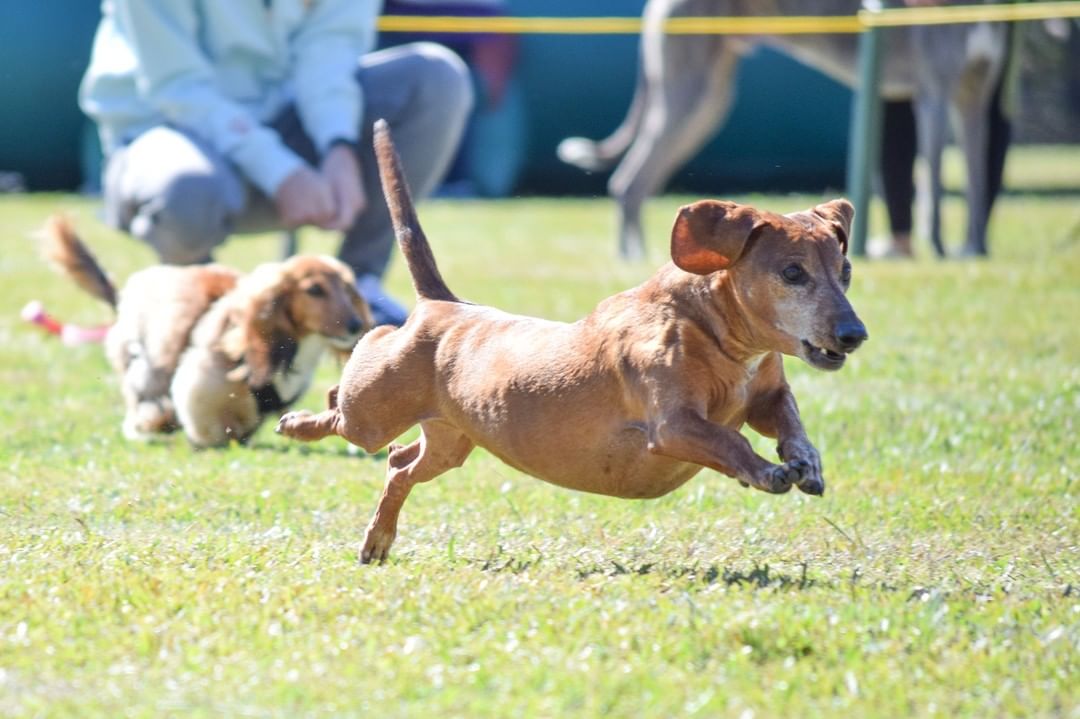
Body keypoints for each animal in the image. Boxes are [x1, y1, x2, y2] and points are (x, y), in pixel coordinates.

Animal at [41, 215, 371, 444]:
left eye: (348, 289)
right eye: (314, 290)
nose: (355, 325)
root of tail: (125, 294)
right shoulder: (203, 379)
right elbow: (211, 418)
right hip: (146, 363)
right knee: (143, 400)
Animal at [280, 120, 868, 561]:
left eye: (845, 271)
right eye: (792, 273)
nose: (854, 334)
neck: (708, 328)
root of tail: (444, 305)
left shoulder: (767, 396)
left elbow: (788, 421)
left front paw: (805, 463)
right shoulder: (675, 425)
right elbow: (730, 442)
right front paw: (766, 471)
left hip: (450, 442)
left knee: (400, 464)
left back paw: (379, 538)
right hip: (372, 412)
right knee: (347, 398)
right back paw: (300, 422)